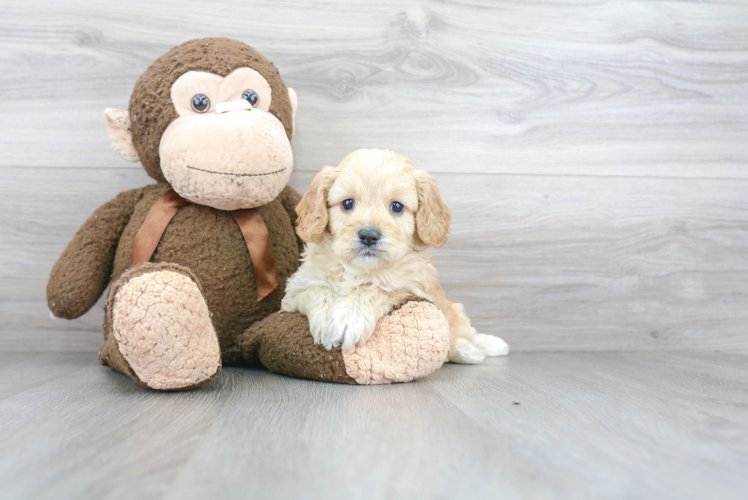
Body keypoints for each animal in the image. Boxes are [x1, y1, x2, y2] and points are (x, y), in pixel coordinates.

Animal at [280, 148, 508, 364]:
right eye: (347, 203)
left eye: (397, 206)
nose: (369, 236)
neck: (360, 270)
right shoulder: (295, 290)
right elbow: (316, 288)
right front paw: (328, 319)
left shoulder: (414, 286)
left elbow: (381, 288)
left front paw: (349, 317)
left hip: (452, 310)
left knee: (462, 330)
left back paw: (483, 346)